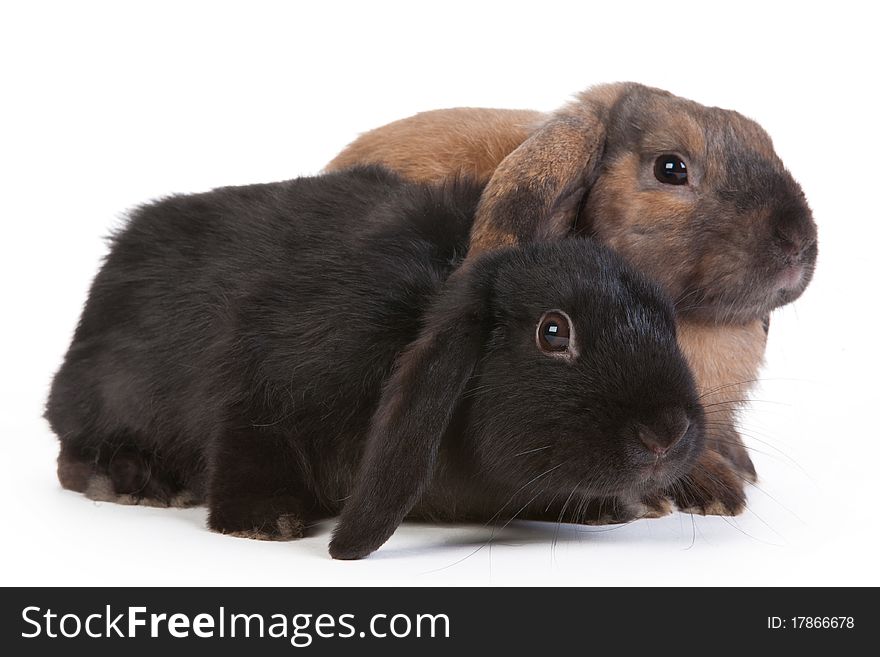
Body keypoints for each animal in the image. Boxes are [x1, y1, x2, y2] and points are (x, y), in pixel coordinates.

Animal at [46, 167, 708, 556]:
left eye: (667, 322)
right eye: (553, 331)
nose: (666, 434)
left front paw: (615, 508)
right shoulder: (263, 383)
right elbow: (247, 441)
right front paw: (263, 523)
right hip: (104, 396)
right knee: (73, 455)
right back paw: (135, 480)